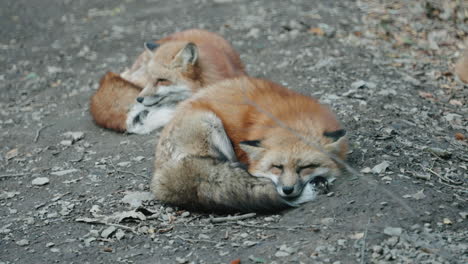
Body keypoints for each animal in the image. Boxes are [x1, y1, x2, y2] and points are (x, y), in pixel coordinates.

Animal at [150, 76, 348, 212]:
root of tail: (160, 170)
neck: (294, 118)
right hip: (210, 122)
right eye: (277, 167)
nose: (287, 190)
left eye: (305, 167)